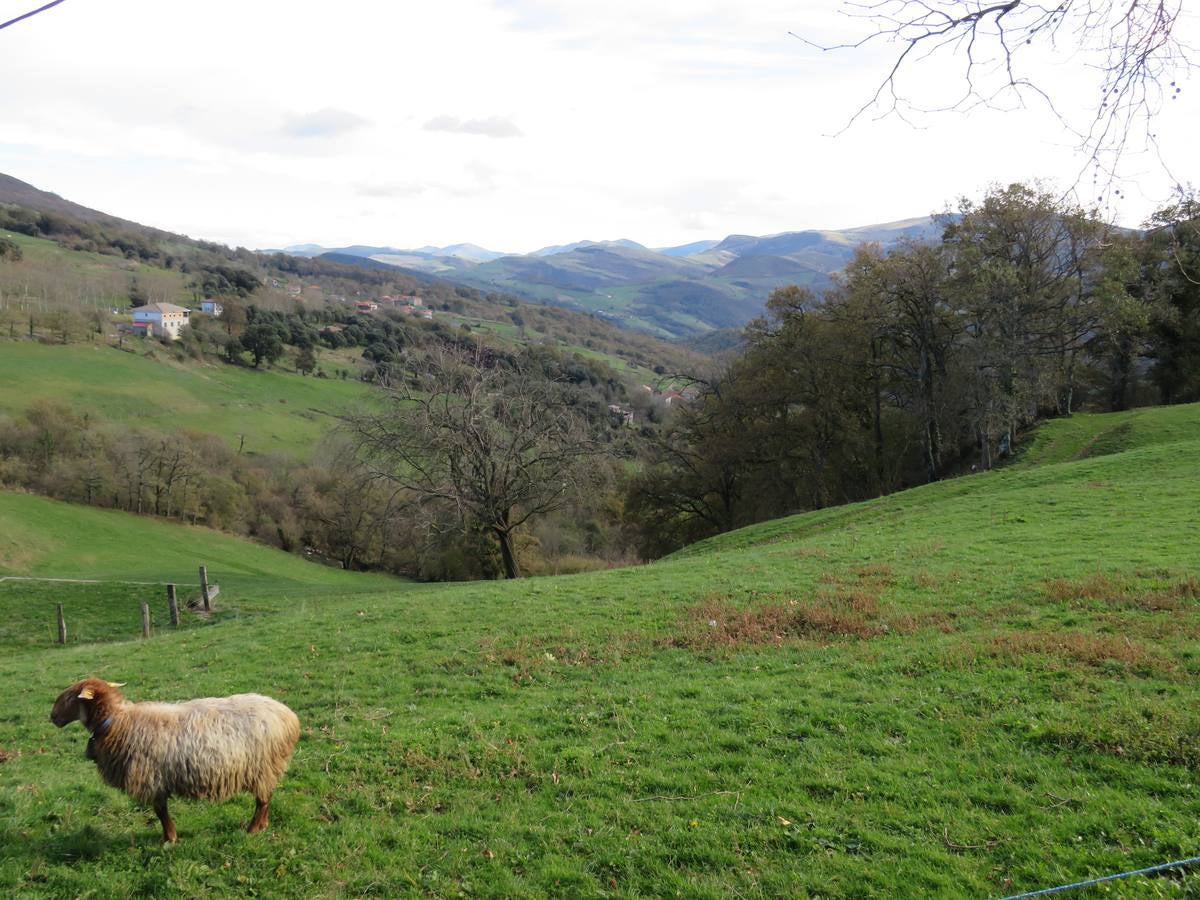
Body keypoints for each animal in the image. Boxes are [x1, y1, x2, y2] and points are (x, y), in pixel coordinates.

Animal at [52, 681, 300, 844]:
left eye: (70, 697)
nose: (52, 717)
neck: (117, 722)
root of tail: (289, 717)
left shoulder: (153, 778)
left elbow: (160, 812)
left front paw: (169, 839)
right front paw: (169, 837)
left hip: (263, 766)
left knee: (262, 801)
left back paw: (253, 829)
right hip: (267, 769)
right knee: (266, 798)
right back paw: (263, 825)